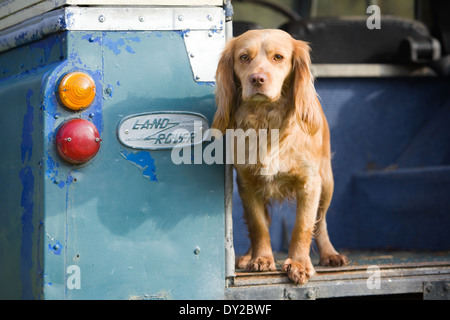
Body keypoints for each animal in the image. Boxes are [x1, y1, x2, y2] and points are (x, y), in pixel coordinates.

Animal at [211, 30, 348, 284]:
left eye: (278, 57)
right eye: (243, 57)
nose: (257, 79)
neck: (266, 122)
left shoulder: (310, 183)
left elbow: (304, 226)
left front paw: (299, 264)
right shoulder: (247, 183)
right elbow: (258, 225)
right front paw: (261, 258)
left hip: (327, 183)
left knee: (321, 222)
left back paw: (330, 254)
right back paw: (248, 256)